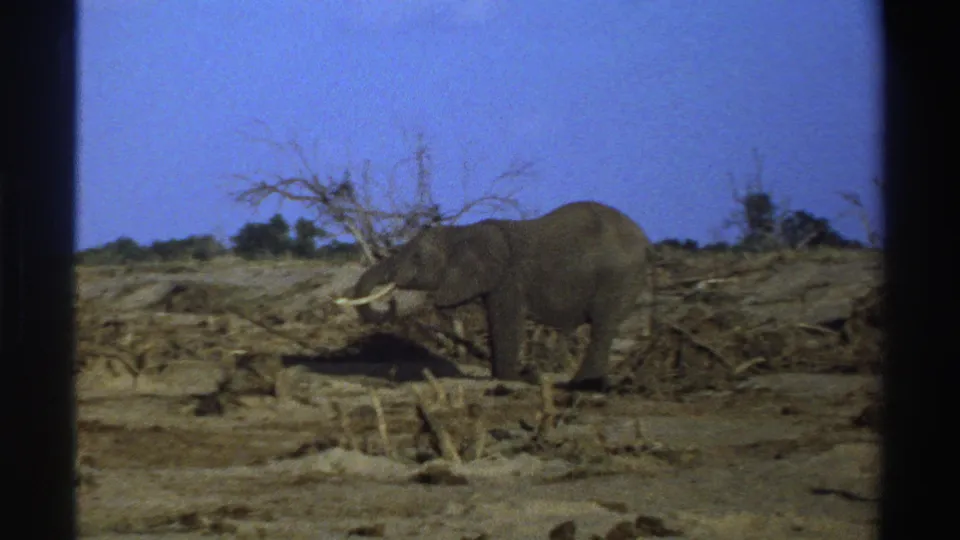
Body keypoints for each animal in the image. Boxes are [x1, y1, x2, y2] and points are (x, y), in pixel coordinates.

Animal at [335, 201, 653, 392]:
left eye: (416, 257)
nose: (390, 300)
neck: (464, 231)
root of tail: (645, 240)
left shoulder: (508, 278)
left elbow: (506, 321)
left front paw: (511, 379)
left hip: (617, 277)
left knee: (602, 325)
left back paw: (581, 385)